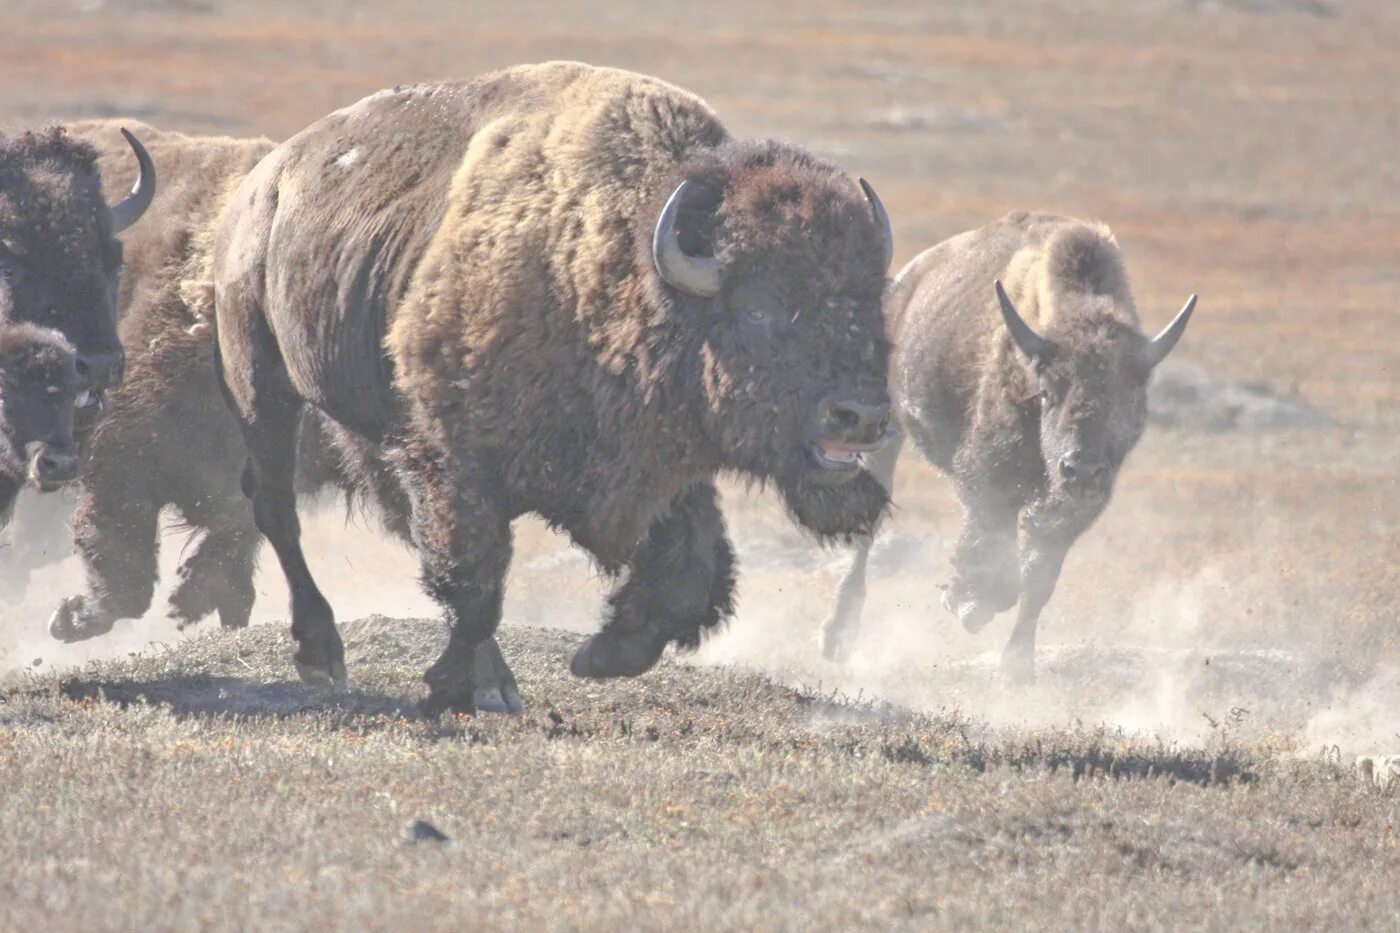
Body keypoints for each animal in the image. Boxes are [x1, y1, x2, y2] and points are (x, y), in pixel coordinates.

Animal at [215, 61, 896, 711]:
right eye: (758, 308)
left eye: (871, 299)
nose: (860, 415)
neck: (609, 266)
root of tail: (262, 185)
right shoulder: (455, 459)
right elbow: (474, 582)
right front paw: (450, 686)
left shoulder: (659, 470)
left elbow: (691, 575)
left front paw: (603, 654)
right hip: (261, 377)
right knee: (276, 506)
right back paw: (324, 655)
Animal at [823, 214, 1198, 686]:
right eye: (1047, 392)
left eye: (1129, 400)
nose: (1082, 470)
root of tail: (908, 280)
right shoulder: (988, 473)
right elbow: (992, 536)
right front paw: (970, 603)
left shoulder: (1070, 510)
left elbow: (1039, 574)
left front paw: (1017, 666)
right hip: (884, 427)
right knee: (866, 526)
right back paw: (837, 638)